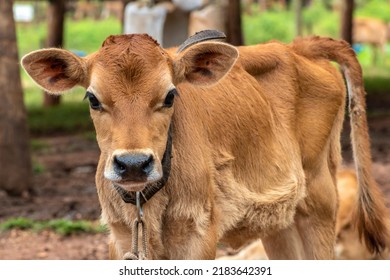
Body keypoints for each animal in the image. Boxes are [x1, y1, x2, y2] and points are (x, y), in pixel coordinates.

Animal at [22, 29, 390, 260]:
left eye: (170, 95)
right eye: (93, 98)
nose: (133, 165)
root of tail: (299, 47)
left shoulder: (197, 235)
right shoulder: (120, 237)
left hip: (320, 200)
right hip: (281, 221)